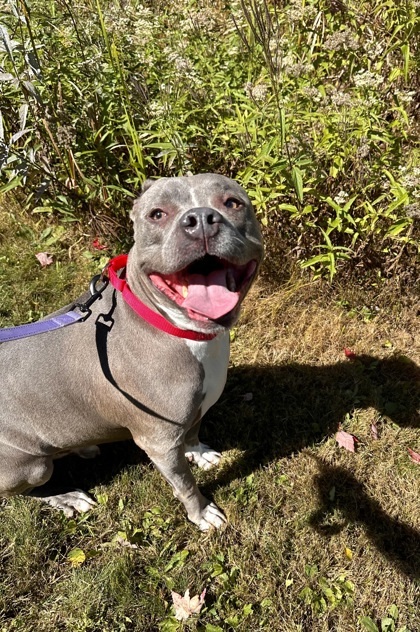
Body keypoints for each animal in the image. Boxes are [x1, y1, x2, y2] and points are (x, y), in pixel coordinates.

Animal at [0, 173, 262, 528]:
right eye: (157, 214)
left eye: (232, 203)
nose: (201, 220)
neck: (179, 329)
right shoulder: (159, 442)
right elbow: (185, 484)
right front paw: (201, 513)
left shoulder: (194, 410)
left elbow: (193, 431)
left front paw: (199, 452)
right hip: (31, 468)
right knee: (27, 491)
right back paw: (67, 497)